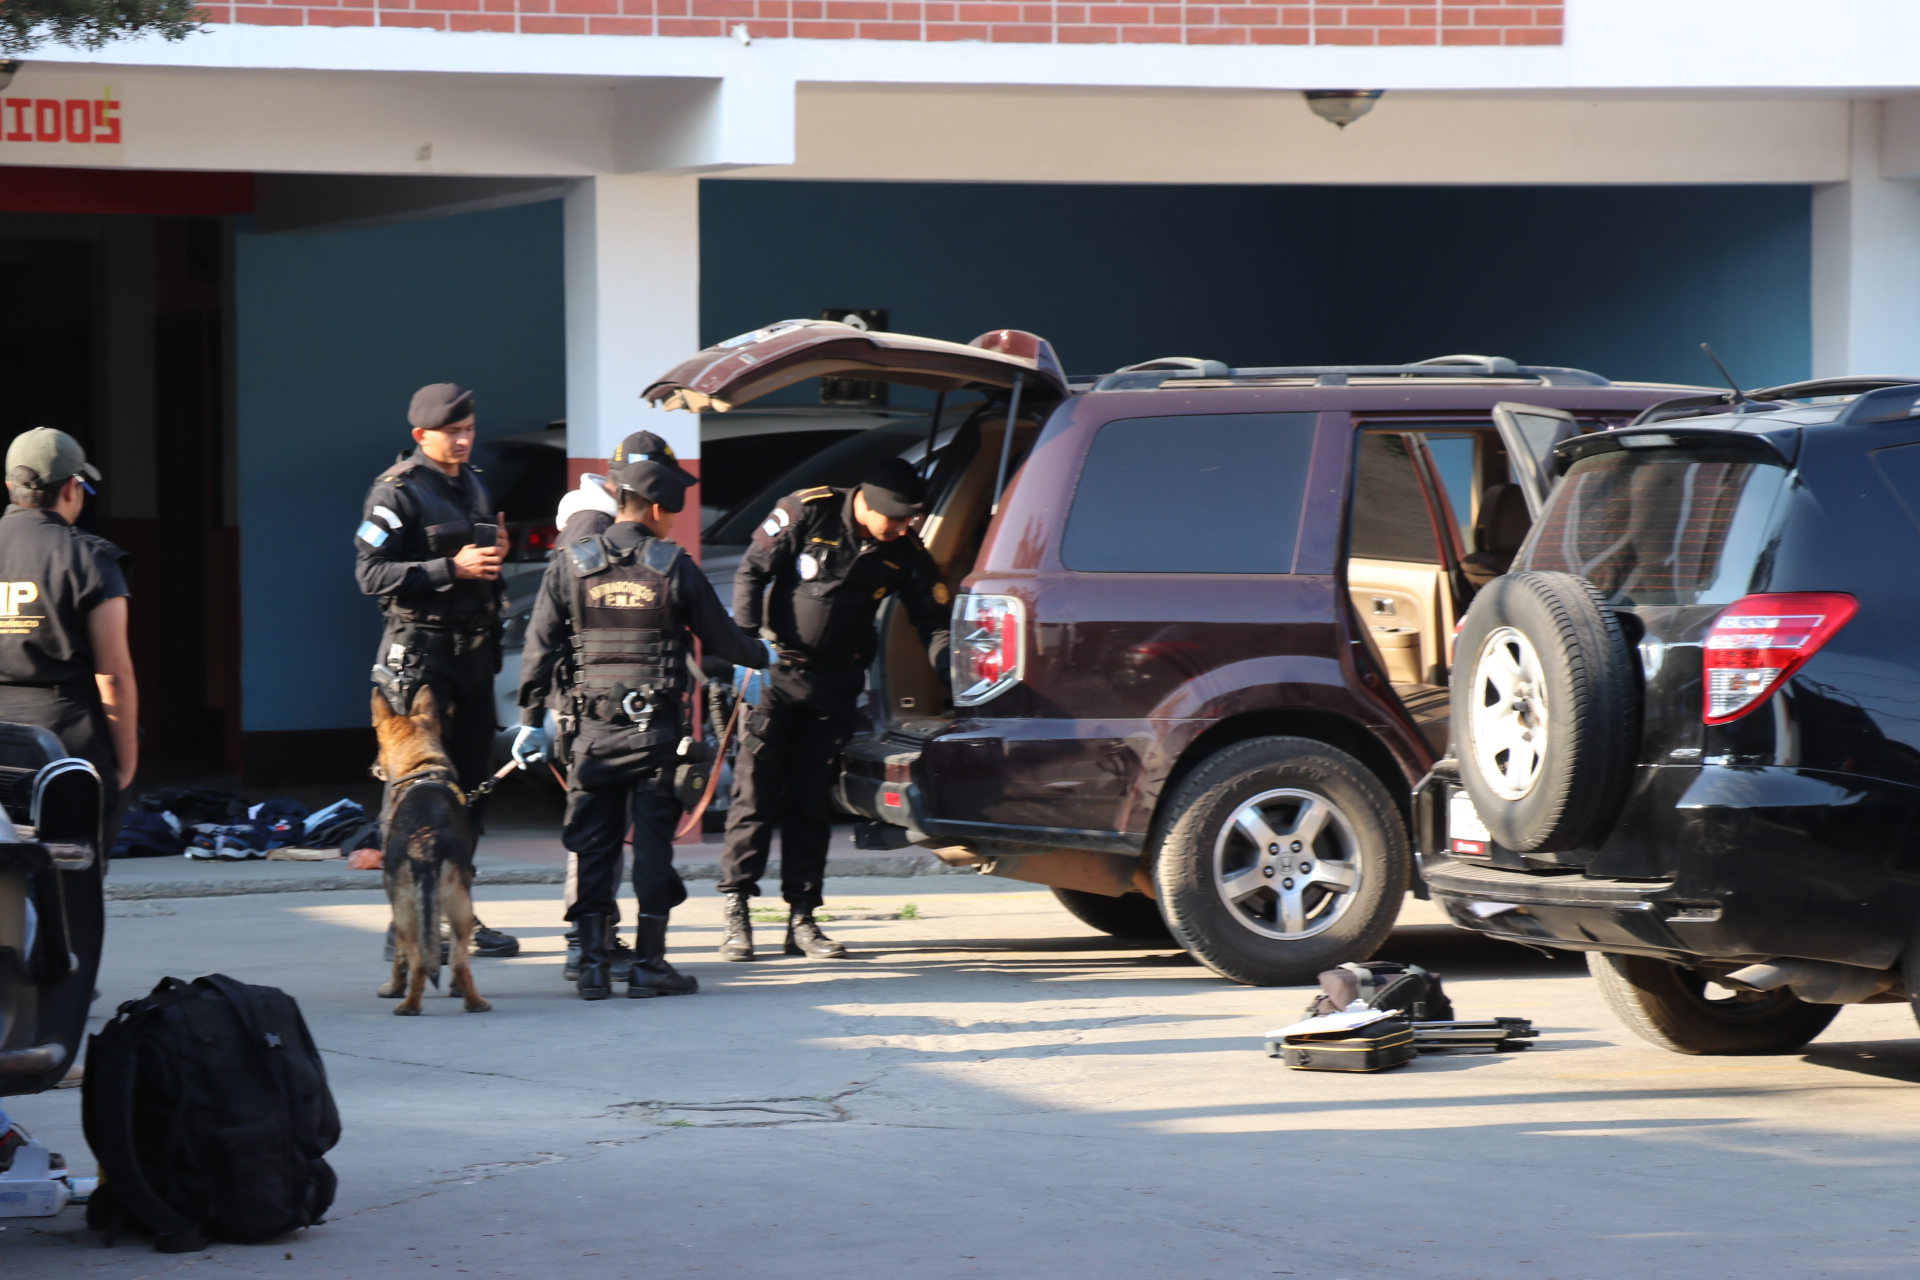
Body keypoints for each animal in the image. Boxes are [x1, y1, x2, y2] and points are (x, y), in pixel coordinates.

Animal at [366, 687, 487, 1013]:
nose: (373, 767)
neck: (422, 769)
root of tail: (426, 841)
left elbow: (399, 959)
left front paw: (393, 988)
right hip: (461, 907)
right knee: (458, 961)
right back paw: (473, 1001)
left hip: (409, 912)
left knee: (420, 961)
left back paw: (409, 1005)